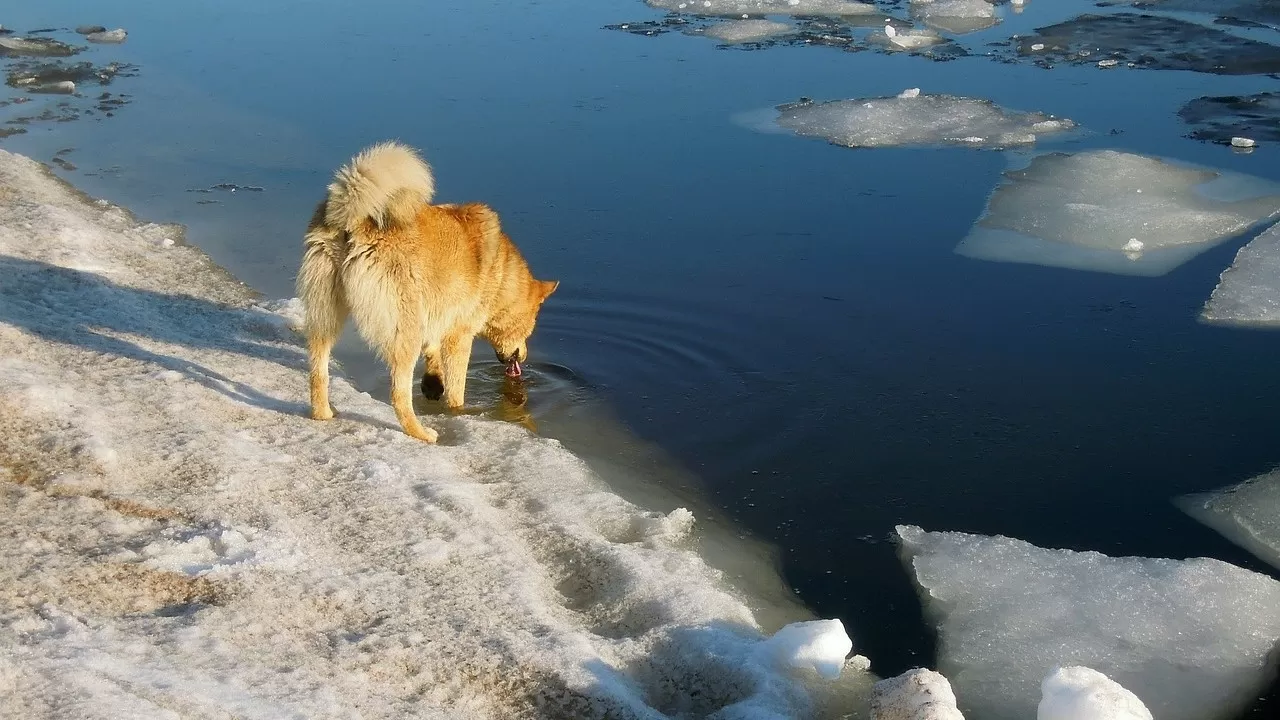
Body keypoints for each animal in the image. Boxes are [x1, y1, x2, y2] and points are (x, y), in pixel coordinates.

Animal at [302, 140, 563, 440]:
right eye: (532, 323)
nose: (522, 358)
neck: (500, 275)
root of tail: (355, 217)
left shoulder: (438, 311)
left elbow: (433, 351)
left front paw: (433, 384)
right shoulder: (460, 334)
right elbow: (456, 387)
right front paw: (457, 410)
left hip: (325, 314)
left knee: (317, 373)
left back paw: (322, 414)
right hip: (404, 329)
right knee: (398, 394)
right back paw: (422, 433)